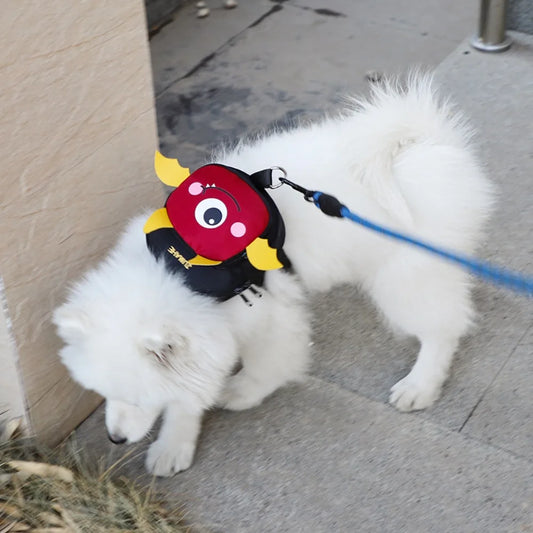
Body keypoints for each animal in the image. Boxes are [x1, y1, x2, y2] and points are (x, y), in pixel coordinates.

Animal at [53, 77, 490, 476]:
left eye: (138, 398)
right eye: (101, 393)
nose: (114, 439)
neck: (179, 268)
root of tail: (427, 141)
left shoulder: (266, 317)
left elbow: (265, 366)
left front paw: (240, 393)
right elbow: (190, 391)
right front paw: (174, 444)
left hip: (403, 277)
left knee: (444, 328)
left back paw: (421, 384)